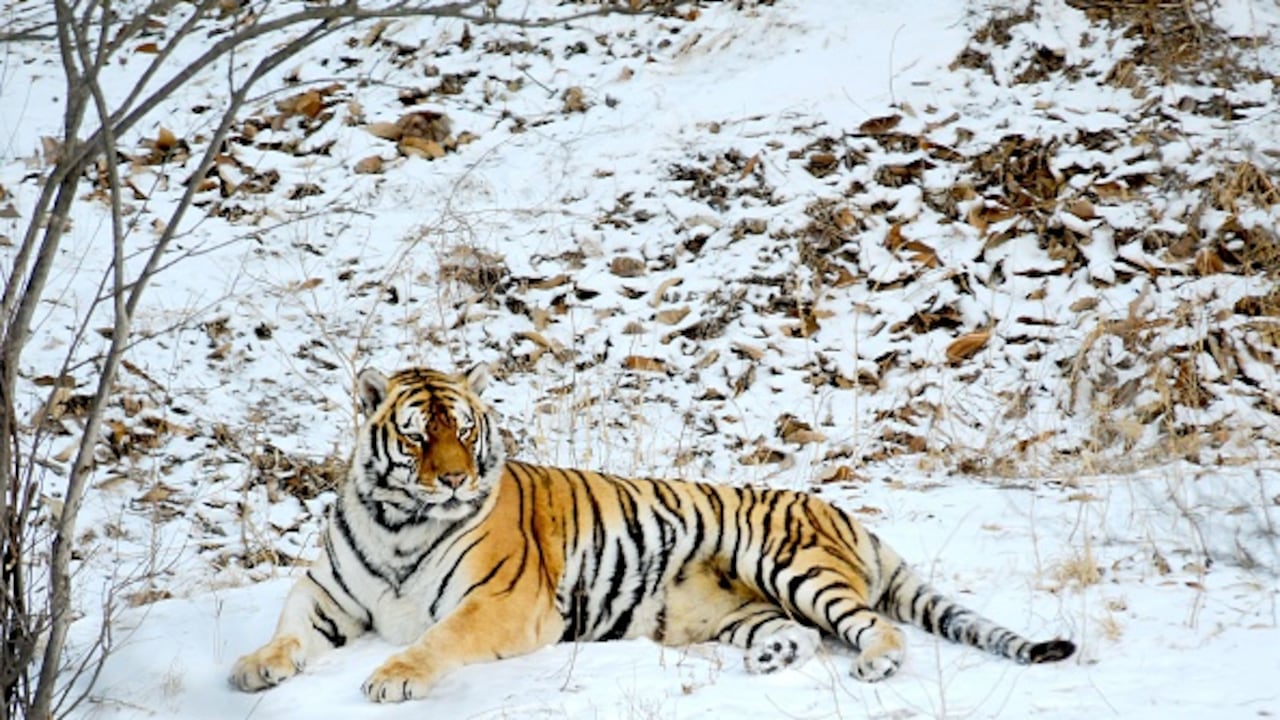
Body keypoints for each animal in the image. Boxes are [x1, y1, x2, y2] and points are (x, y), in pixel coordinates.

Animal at [230, 365, 1076, 703]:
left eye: (464, 432)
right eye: (416, 437)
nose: (455, 479)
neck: (401, 521)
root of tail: (844, 515)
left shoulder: (502, 602)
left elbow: (438, 638)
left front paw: (396, 676)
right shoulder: (330, 593)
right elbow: (286, 631)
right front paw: (252, 668)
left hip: (789, 563)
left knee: (871, 623)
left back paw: (877, 665)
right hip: (730, 607)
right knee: (801, 635)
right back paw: (771, 659)